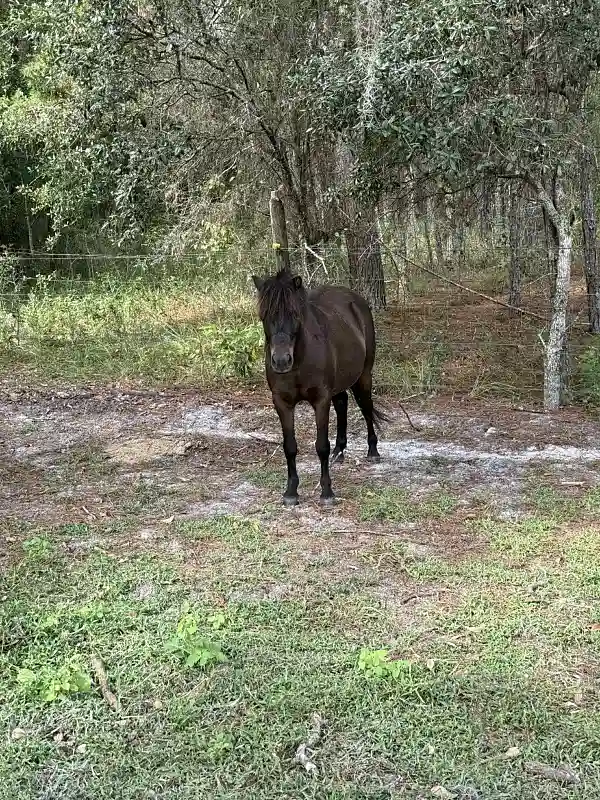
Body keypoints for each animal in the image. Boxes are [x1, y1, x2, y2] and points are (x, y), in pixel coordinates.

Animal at [252, 268, 386, 506]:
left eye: (295, 314)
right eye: (264, 316)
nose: (281, 361)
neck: (300, 360)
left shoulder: (320, 400)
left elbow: (321, 445)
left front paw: (327, 492)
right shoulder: (282, 402)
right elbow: (290, 446)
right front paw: (291, 492)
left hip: (364, 376)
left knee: (366, 408)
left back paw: (372, 451)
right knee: (342, 403)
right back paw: (339, 452)